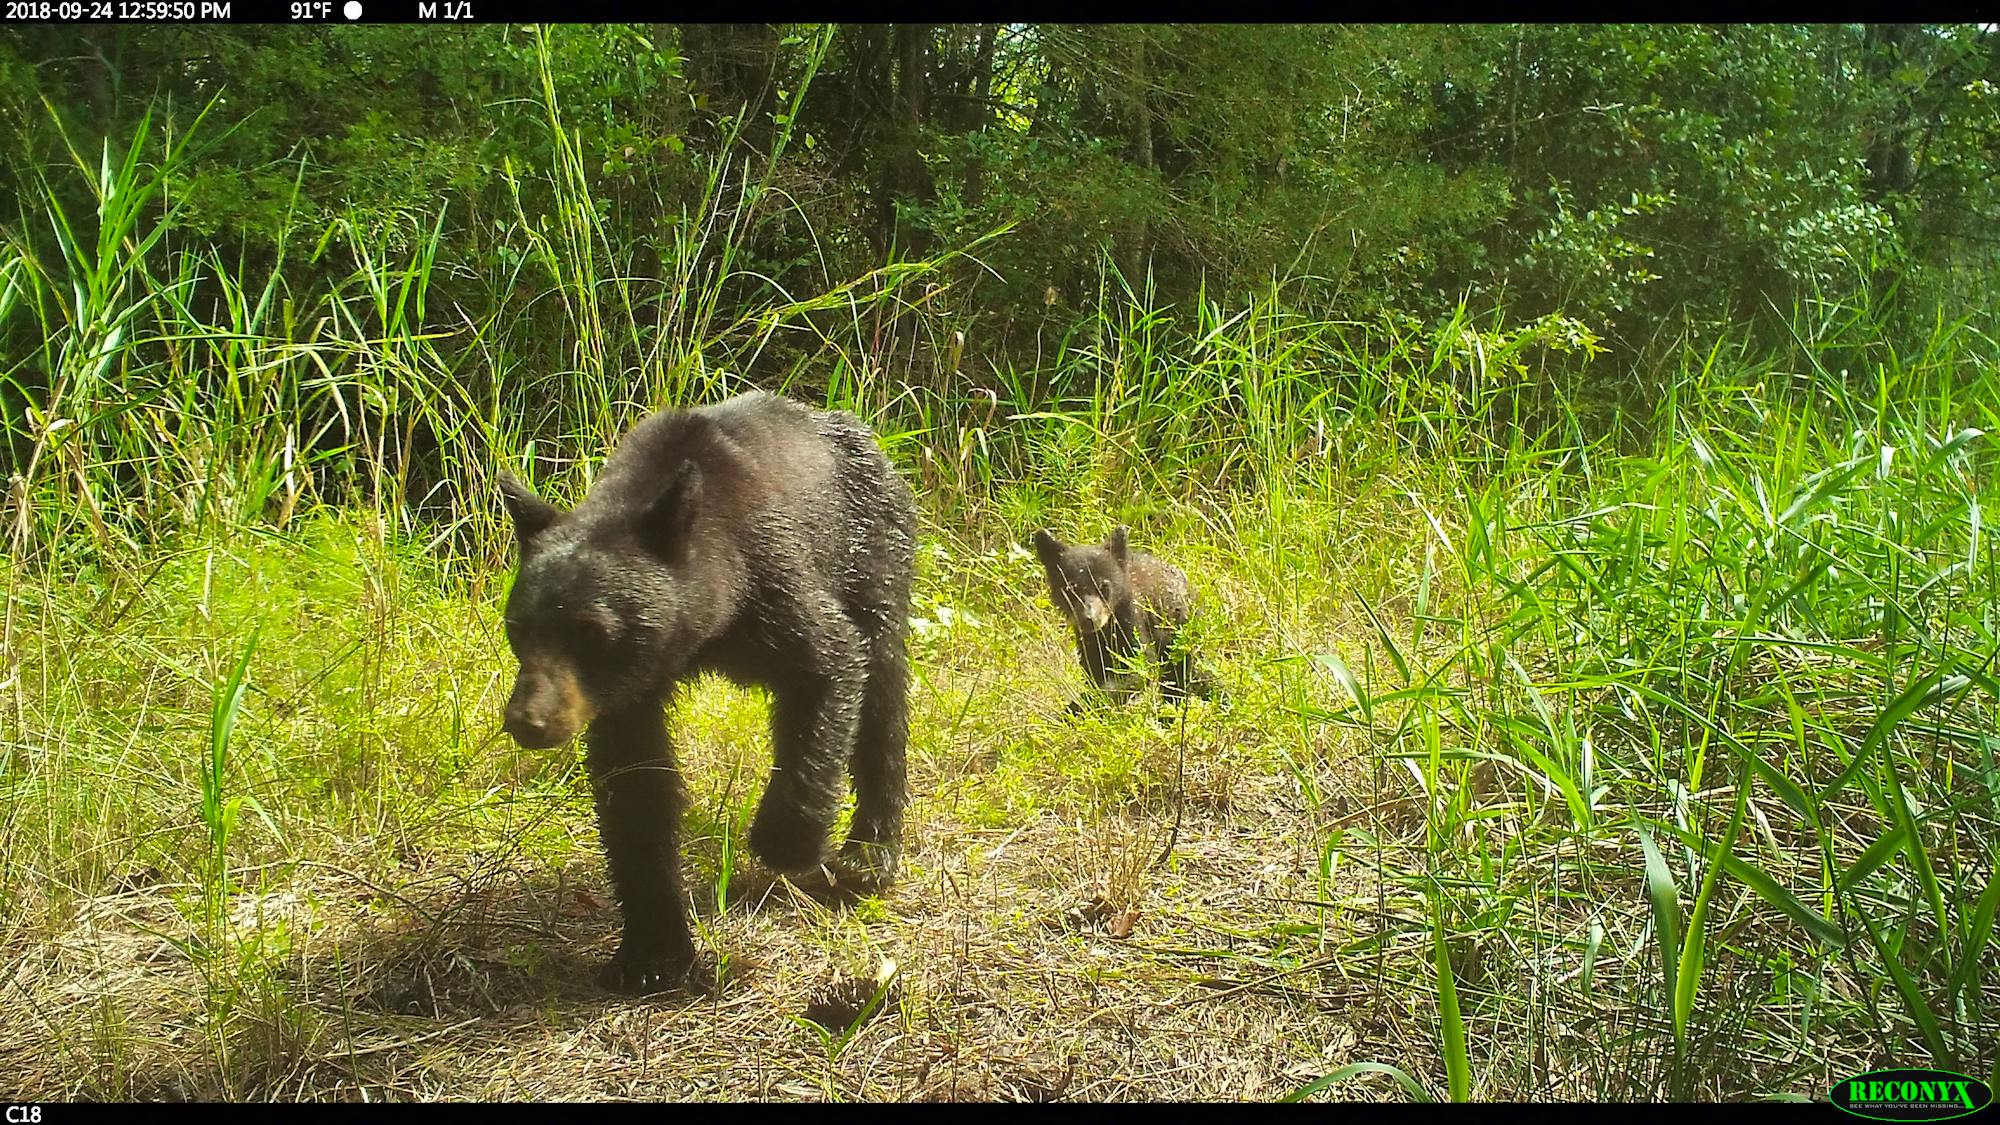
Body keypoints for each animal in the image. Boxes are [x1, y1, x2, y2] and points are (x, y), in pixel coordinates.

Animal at [496, 392, 916, 988]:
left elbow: (830, 665)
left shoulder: (774, 577)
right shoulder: (629, 690)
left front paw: (790, 841)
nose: (528, 720)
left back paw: (869, 854)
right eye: (518, 628)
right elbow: (636, 787)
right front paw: (652, 952)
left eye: (593, 631)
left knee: (882, 690)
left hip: (871, 546)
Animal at [1040, 528, 1208, 704]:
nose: (1089, 619)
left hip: (1181, 632)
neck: (1106, 628)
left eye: (1104, 586)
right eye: (1070, 589)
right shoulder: (1088, 641)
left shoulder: (1133, 619)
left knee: (1185, 673)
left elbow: (1138, 666)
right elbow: (1095, 670)